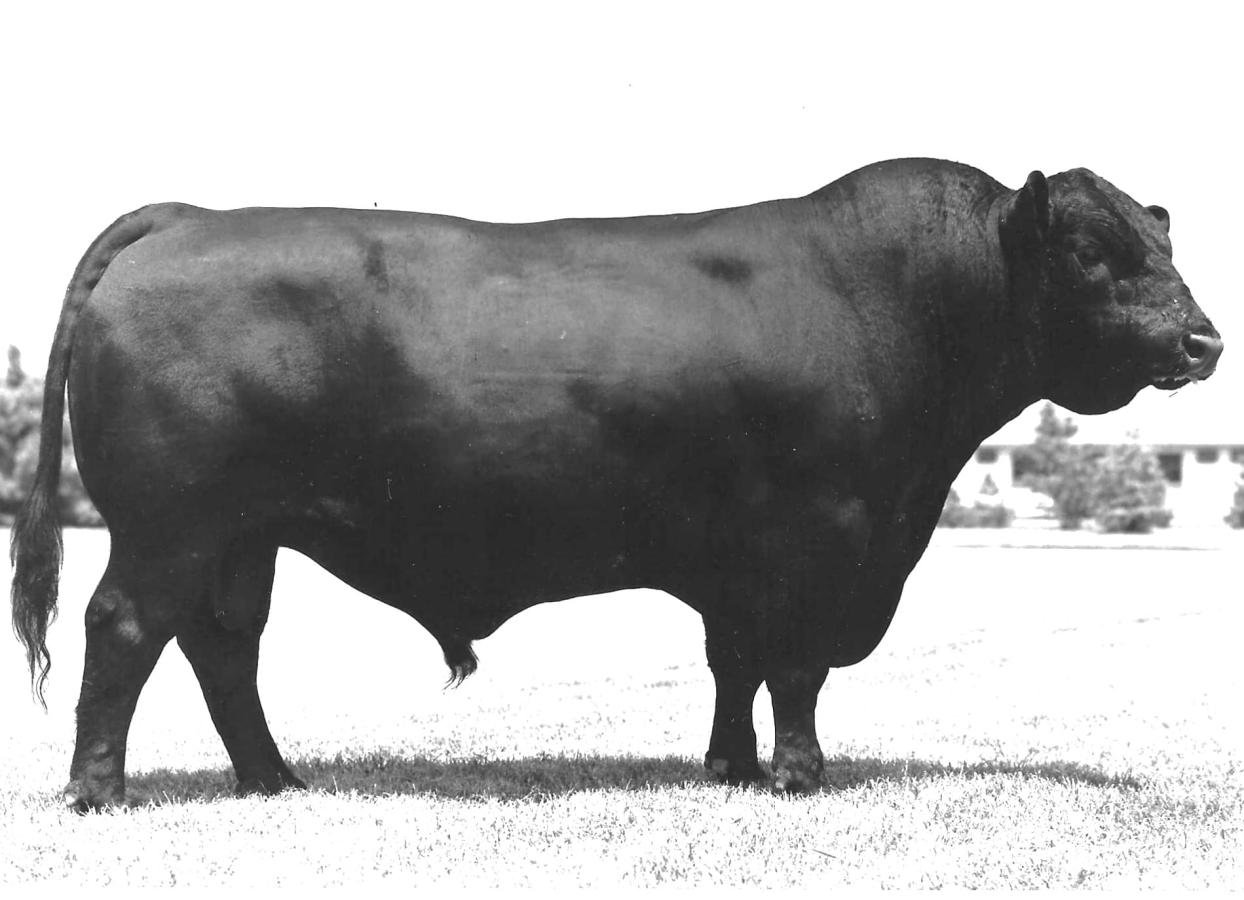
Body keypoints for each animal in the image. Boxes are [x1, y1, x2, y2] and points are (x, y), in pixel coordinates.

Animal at [9, 158, 1222, 811]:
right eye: (1090, 253)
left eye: (1160, 245)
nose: (1203, 340)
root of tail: (191, 218)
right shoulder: (820, 534)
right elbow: (793, 667)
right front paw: (798, 776)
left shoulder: (742, 554)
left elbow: (735, 663)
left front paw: (730, 767)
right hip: (167, 525)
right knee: (126, 630)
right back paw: (100, 791)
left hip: (239, 536)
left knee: (223, 648)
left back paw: (275, 780)